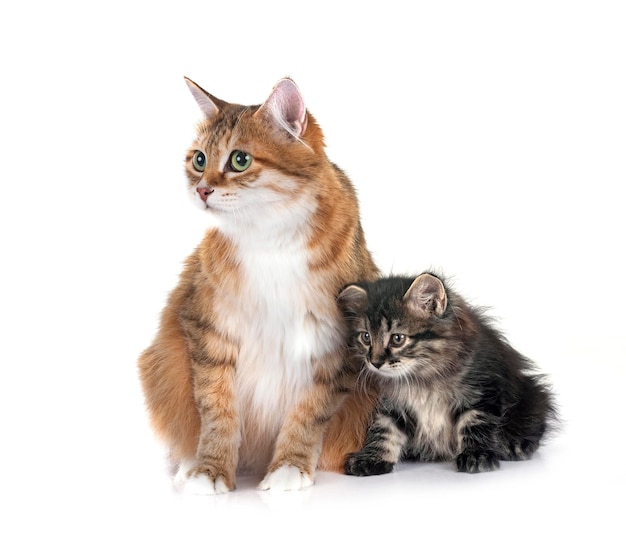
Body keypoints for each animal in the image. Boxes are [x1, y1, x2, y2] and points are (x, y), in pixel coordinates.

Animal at [138, 76, 378, 494]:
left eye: (240, 160)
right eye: (199, 160)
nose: (202, 190)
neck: (270, 236)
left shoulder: (334, 344)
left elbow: (308, 415)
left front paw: (290, 466)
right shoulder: (208, 331)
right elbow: (217, 412)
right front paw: (210, 469)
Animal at [336, 272, 556, 474]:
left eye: (397, 339)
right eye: (366, 337)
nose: (374, 362)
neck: (422, 377)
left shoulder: (482, 389)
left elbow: (475, 423)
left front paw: (476, 455)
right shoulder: (391, 403)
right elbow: (384, 430)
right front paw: (372, 458)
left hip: (533, 396)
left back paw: (516, 444)